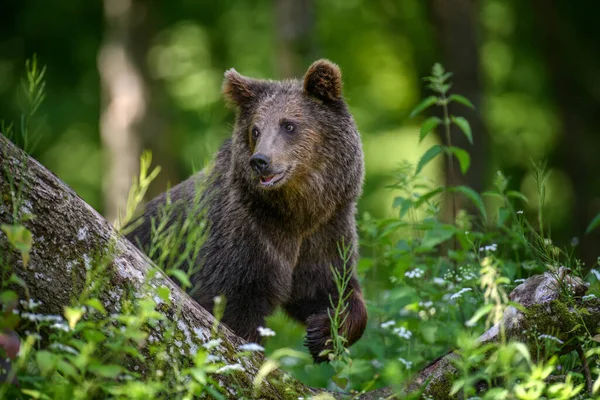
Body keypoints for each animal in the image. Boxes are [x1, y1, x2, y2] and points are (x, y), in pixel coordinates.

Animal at [127, 59, 366, 362]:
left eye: (289, 125)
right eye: (256, 129)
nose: (260, 160)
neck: (296, 212)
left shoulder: (325, 231)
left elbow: (332, 286)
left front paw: (324, 331)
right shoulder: (244, 234)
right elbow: (232, 304)